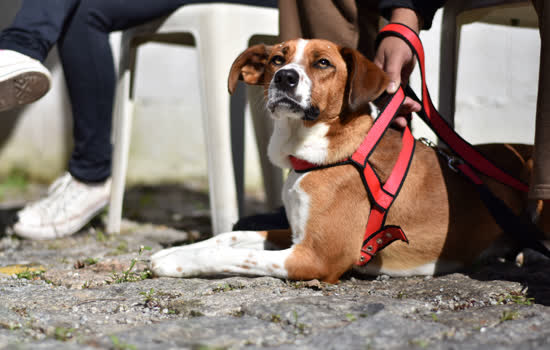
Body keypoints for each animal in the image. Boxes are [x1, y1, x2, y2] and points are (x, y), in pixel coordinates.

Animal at [149, 39, 548, 284]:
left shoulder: (316, 256)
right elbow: (230, 237)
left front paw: (175, 263)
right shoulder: (296, 233)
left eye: (323, 63)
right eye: (277, 58)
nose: (284, 77)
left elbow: (236, 257)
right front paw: (175, 249)